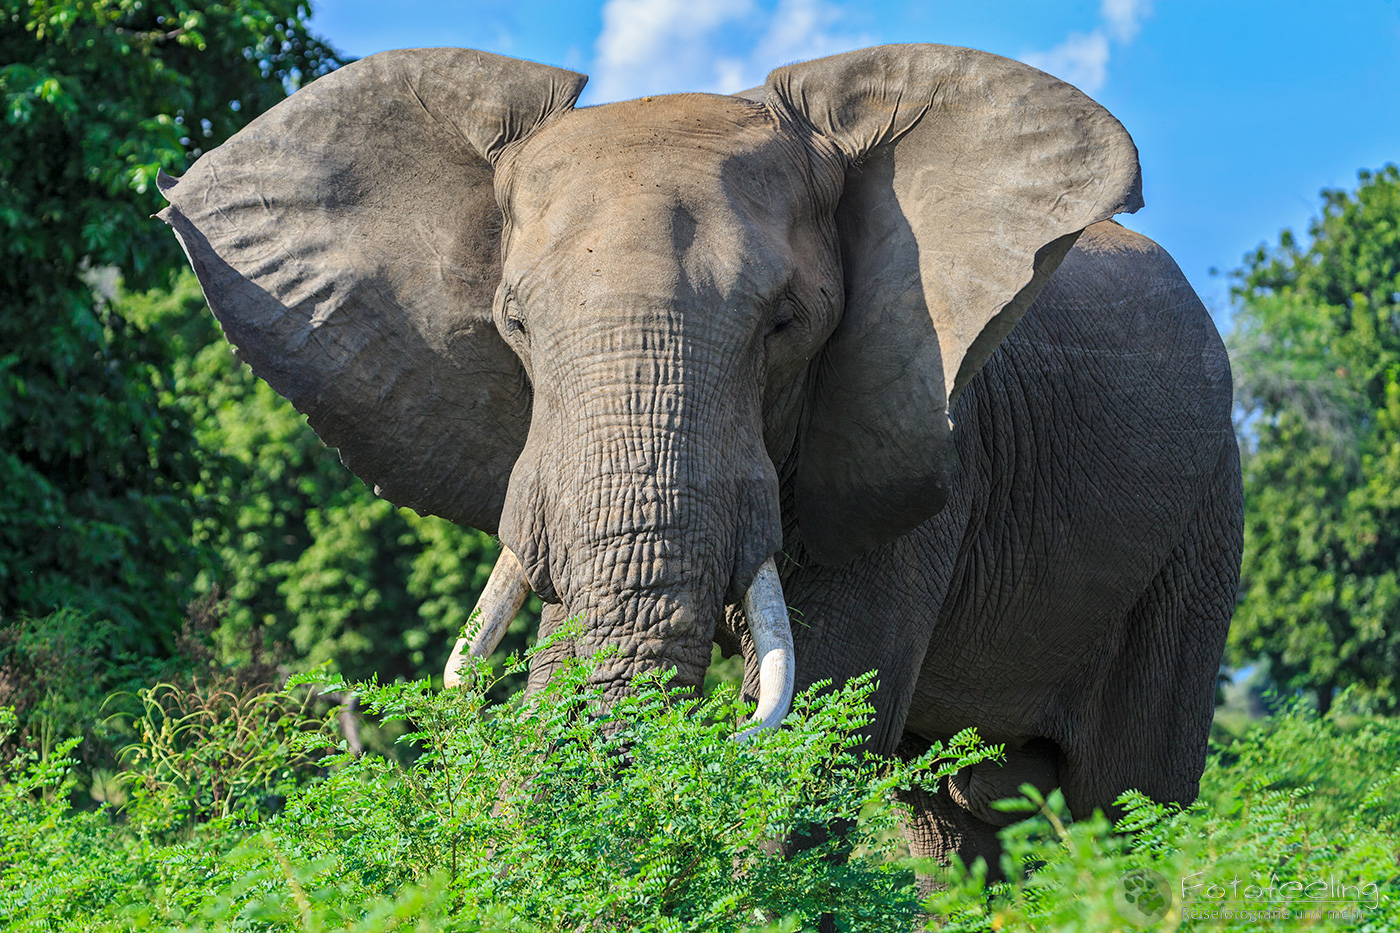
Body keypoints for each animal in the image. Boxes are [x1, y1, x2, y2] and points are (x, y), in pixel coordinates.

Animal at [157, 43, 1243, 872]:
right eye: (513, 323)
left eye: (785, 324)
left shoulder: (917, 428)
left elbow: (819, 720)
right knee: (955, 820)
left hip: (1196, 531)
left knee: (1127, 803)